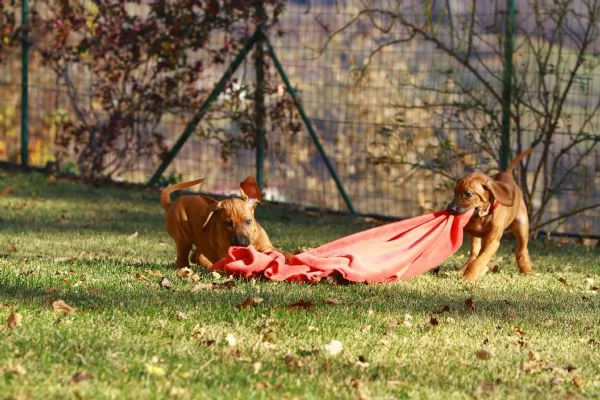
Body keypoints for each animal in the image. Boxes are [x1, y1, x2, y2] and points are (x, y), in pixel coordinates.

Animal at [446, 148, 536, 282]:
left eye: (468, 194)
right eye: (455, 192)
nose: (450, 209)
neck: (483, 215)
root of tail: (507, 174)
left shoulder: (492, 242)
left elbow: (480, 260)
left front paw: (469, 276)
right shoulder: (473, 231)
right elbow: (476, 257)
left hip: (522, 226)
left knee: (521, 250)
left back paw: (526, 269)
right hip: (478, 237)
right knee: (474, 254)